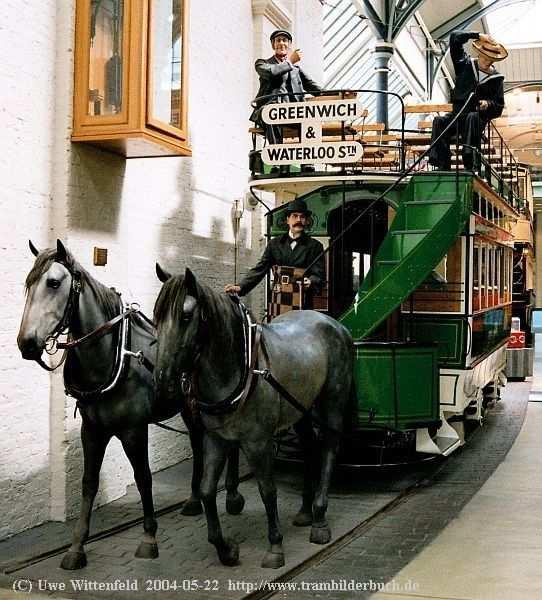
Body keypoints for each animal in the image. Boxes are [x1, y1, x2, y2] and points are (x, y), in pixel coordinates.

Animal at [17, 241, 244, 568]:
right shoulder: (92, 430)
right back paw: (192, 501)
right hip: (190, 407)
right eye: (28, 283)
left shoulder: (134, 430)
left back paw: (234, 496)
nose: (26, 343)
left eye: (54, 283)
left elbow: (143, 478)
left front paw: (149, 538)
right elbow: (89, 482)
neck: (113, 357)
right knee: (198, 444)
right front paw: (76, 546)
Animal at [154, 266, 356, 568]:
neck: (240, 366)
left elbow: (267, 490)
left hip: (332, 401)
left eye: (186, 316)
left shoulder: (258, 442)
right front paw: (225, 549)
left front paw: (275, 547)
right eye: (156, 316)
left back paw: (320, 519)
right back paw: (305, 511)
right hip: (301, 408)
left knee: (329, 447)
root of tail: (335, 324)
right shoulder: (216, 438)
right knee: (310, 447)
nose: (162, 379)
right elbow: (207, 490)